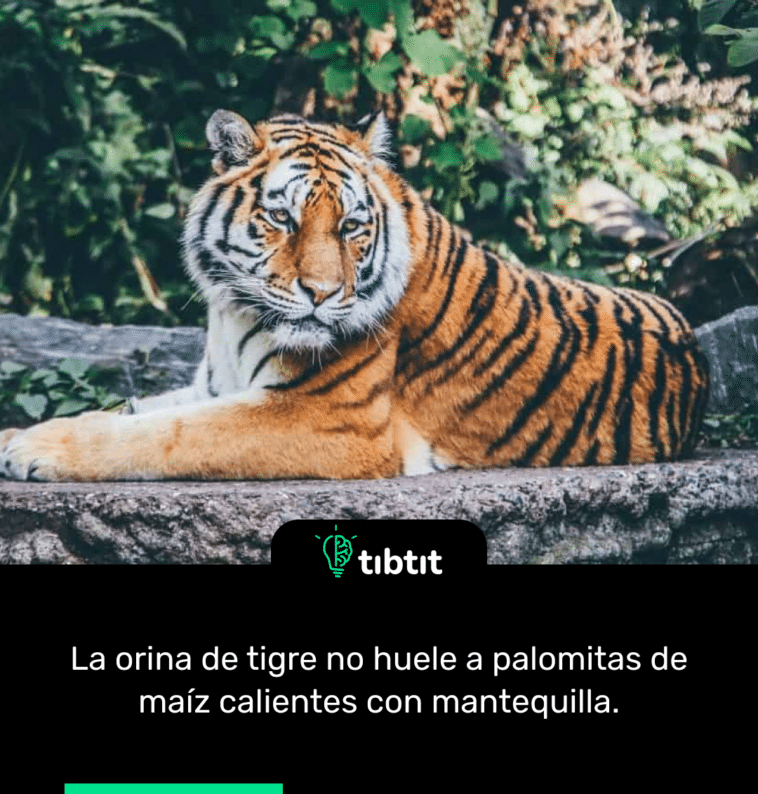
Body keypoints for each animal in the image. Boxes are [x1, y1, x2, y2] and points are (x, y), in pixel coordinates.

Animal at [0, 110, 709, 482]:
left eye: (350, 226)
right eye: (281, 218)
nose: (321, 293)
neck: (233, 314)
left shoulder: (329, 418)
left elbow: (163, 434)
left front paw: (32, 449)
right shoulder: (213, 385)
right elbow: (132, 410)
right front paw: (22, 431)